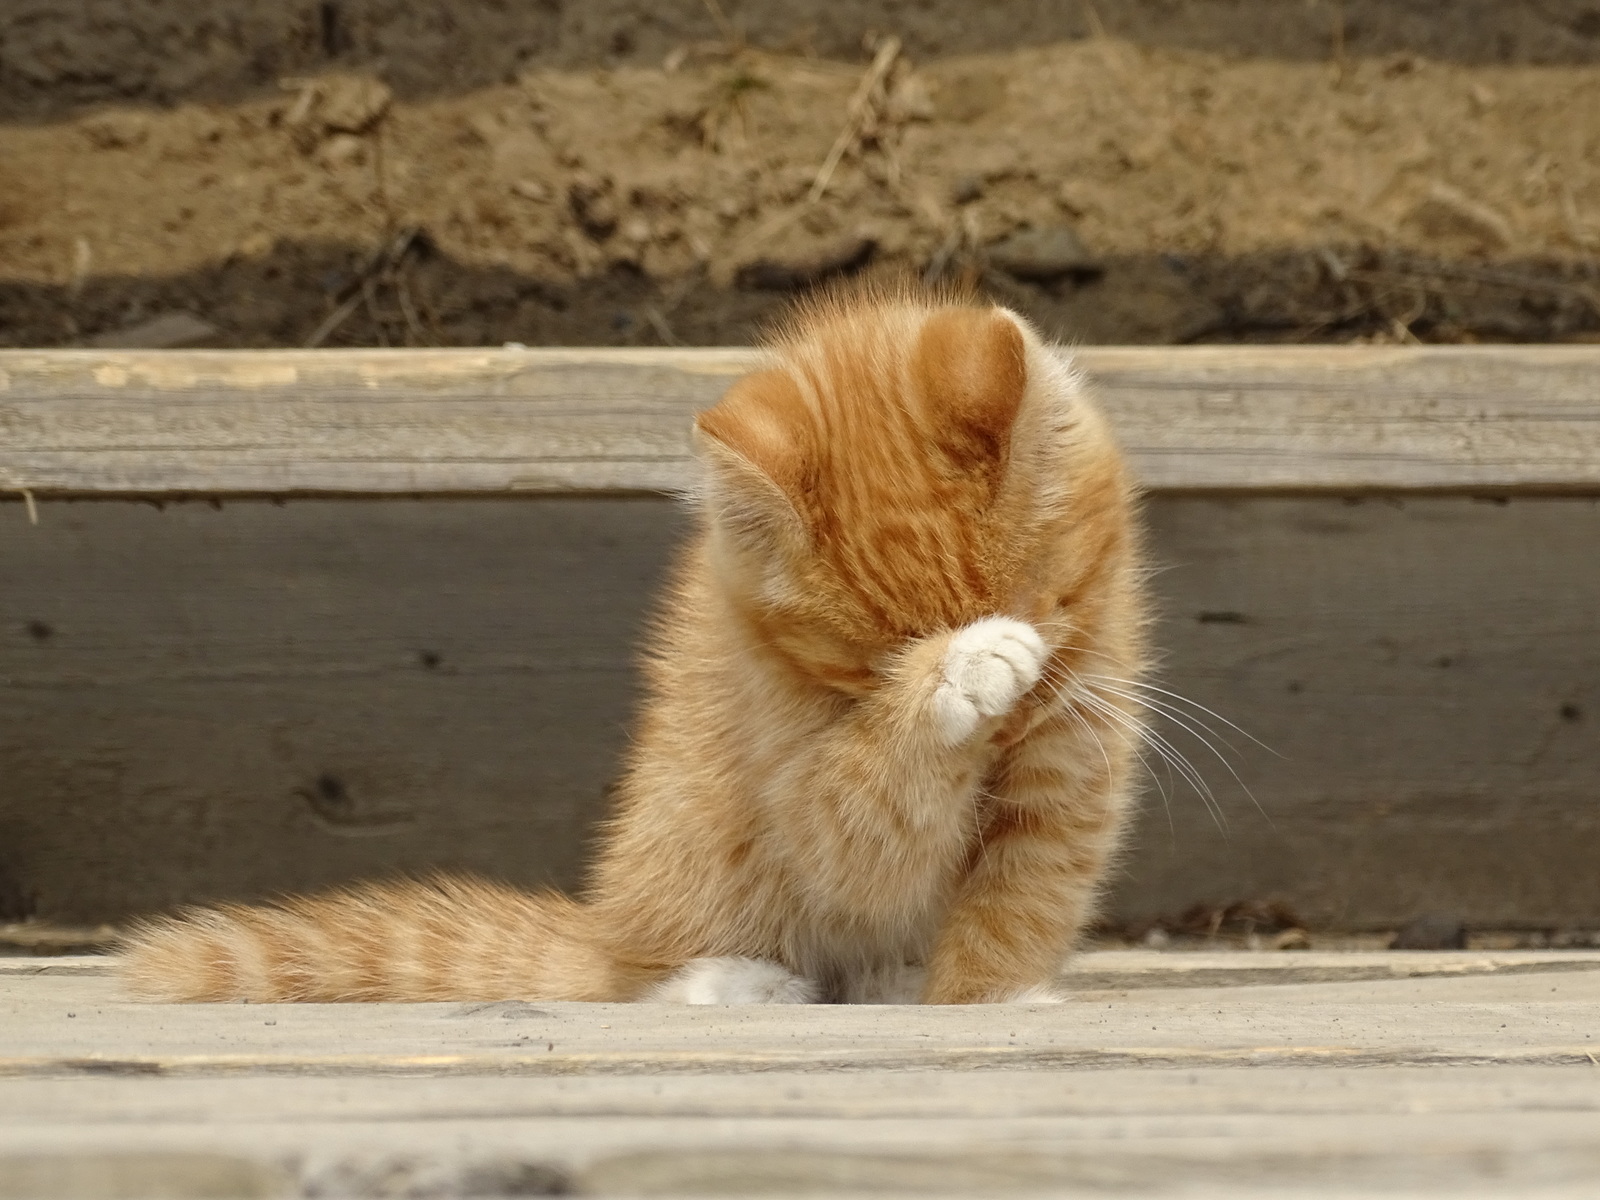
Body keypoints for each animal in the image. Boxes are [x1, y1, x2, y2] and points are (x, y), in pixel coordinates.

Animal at [124, 289, 1152, 1004]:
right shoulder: (815, 808)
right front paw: (961, 674)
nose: (1006, 712)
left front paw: (989, 996)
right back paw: (729, 980)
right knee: (635, 975)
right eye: (873, 667)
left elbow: (1026, 894)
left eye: (1049, 601)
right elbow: (866, 819)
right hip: (690, 835)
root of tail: (605, 923)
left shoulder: (1075, 760)